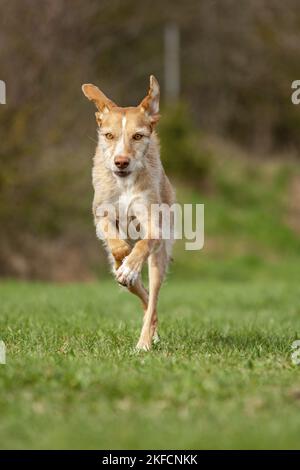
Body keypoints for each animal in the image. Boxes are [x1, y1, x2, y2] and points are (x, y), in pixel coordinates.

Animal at [82, 76, 176, 348]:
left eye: (137, 136)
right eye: (109, 135)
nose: (121, 162)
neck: (124, 183)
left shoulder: (152, 221)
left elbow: (145, 241)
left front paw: (130, 264)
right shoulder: (101, 214)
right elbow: (116, 244)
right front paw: (123, 259)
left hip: (159, 259)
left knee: (153, 299)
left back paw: (144, 342)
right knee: (142, 296)